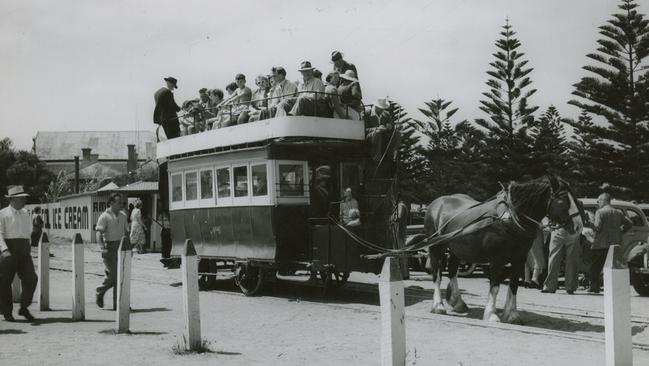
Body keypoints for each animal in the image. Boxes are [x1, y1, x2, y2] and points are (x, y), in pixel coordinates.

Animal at [422, 176, 580, 322]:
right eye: (563, 200)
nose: (579, 226)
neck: (510, 218)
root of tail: (437, 202)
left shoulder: (519, 259)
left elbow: (514, 285)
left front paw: (512, 315)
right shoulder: (497, 259)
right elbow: (495, 286)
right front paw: (491, 314)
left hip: (457, 249)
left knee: (452, 271)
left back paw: (458, 303)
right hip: (436, 247)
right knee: (437, 274)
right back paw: (438, 306)